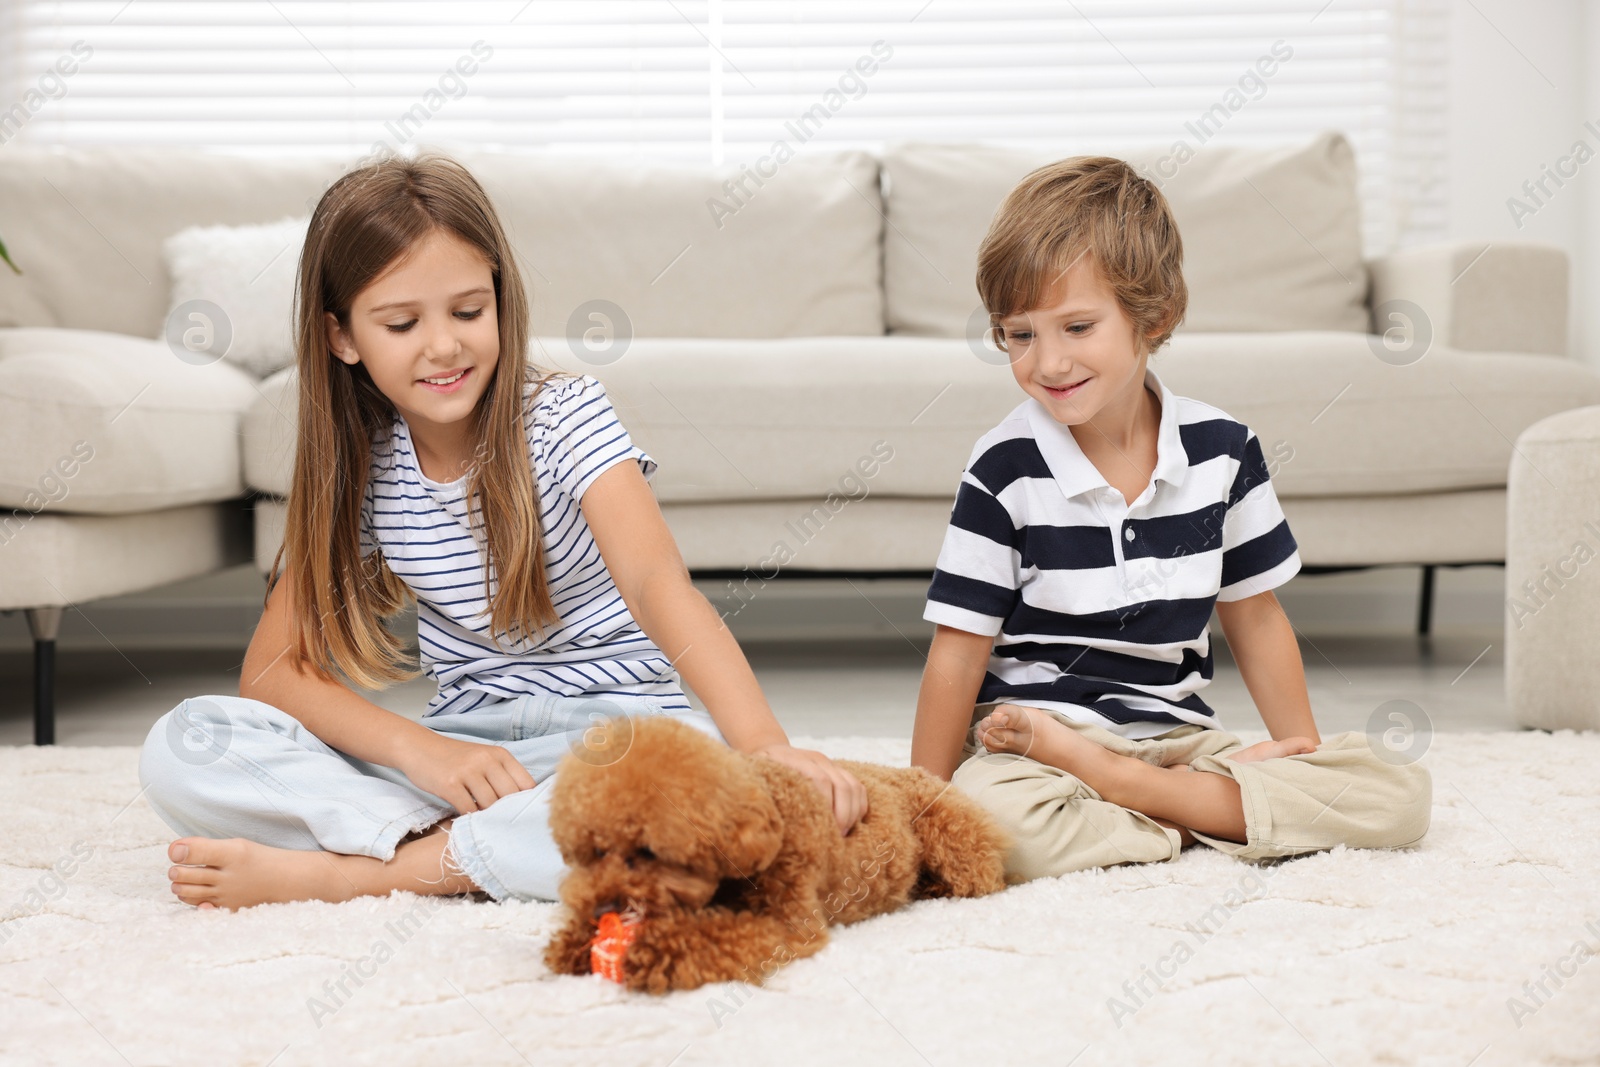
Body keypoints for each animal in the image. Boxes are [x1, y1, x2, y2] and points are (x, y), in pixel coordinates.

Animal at [544, 716, 1004, 991]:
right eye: (595, 851)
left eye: (647, 851)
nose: (601, 909)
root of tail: (914, 772)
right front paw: (573, 942)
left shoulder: (790, 924)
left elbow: (719, 935)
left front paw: (652, 951)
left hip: (955, 840)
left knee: (983, 876)